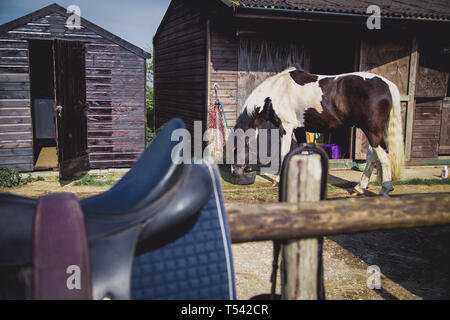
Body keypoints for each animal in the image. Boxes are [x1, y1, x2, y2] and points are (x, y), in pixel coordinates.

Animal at [232, 68, 404, 198]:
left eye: (235, 149)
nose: (235, 172)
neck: (275, 92)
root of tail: (387, 84)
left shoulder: (286, 127)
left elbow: (284, 153)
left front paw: (278, 179)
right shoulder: (299, 128)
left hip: (372, 131)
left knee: (384, 157)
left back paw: (385, 189)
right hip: (370, 131)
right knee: (372, 157)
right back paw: (359, 188)